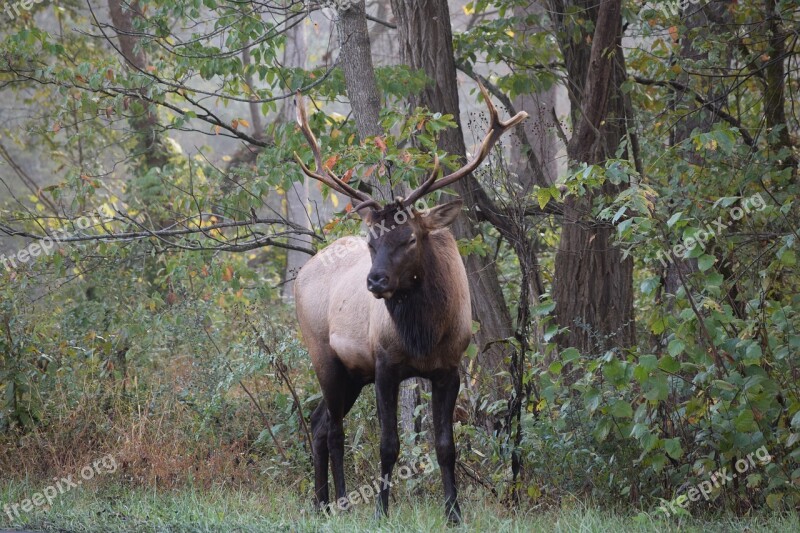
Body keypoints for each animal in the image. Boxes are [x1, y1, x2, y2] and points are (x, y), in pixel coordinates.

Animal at [292, 85, 524, 520]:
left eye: (410, 238)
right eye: (371, 240)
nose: (375, 280)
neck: (424, 335)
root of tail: (302, 272)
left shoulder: (449, 367)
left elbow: (446, 446)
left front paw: (454, 513)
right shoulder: (384, 363)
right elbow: (389, 445)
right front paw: (381, 511)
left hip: (353, 373)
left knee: (318, 422)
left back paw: (323, 503)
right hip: (322, 354)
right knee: (333, 429)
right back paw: (338, 501)